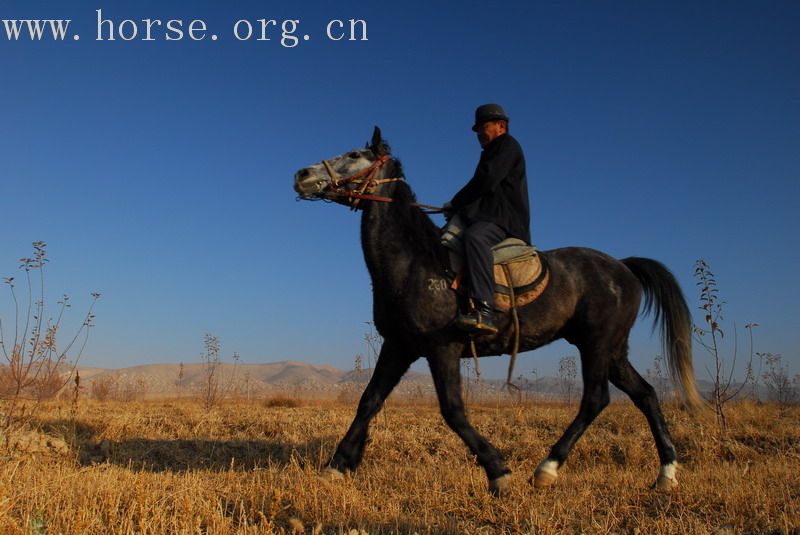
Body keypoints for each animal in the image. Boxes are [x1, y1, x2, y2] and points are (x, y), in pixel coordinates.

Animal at [294, 127, 700, 496]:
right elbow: (369, 400)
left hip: (597, 345)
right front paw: (338, 464)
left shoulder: (442, 349)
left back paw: (547, 468)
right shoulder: (400, 346)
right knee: (645, 394)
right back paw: (666, 474)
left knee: (596, 399)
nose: (302, 175)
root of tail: (623, 267)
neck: (417, 262)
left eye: (355, 154)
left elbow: (453, 410)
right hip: (612, 349)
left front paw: (497, 471)